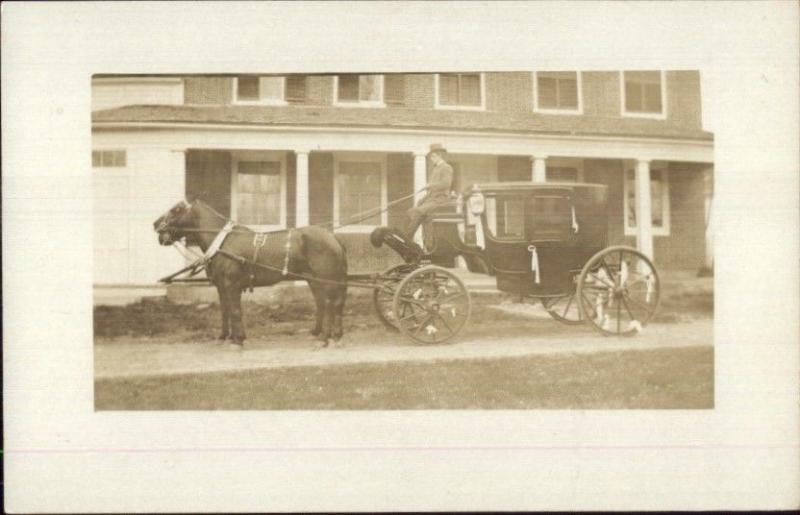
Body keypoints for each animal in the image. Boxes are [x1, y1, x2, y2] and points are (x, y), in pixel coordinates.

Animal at [153, 200, 346, 348]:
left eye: (176, 210)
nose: (155, 224)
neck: (223, 243)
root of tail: (332, 237)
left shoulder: (231, 285)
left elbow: (235, 311)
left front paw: (238, 340)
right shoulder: (221, 286)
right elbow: (226, 310)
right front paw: (226, 337)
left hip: (325, 280)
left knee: (329, 304)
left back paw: (324, 339)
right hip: (315, 280)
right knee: (329, 304)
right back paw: (331, 335)